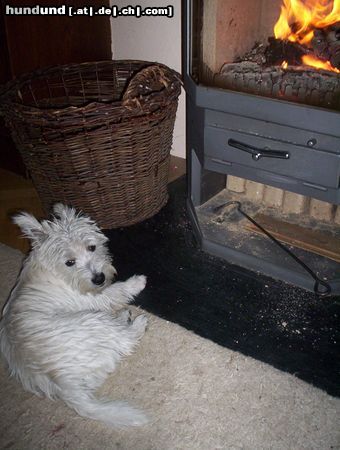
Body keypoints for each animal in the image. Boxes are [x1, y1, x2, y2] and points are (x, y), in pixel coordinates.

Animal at [0, 204, 149, 426]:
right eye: (70, 262)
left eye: (92, 247)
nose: (99, 278)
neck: (52, 269)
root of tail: (63, 383)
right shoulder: (94, 298)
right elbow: (116, 291)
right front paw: (137, 282)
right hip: (93, 320)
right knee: (126, 339)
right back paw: (136, 321)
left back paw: (124, 318)